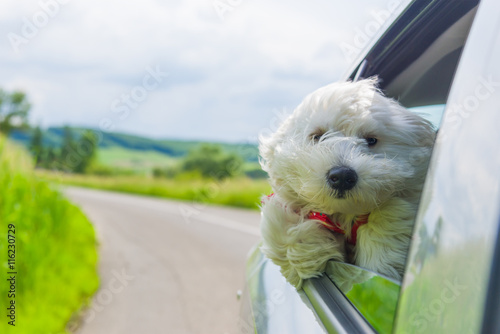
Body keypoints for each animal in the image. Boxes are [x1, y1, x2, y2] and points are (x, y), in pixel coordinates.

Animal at [260, 77, 436, 288]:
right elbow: (286, 229)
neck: (344, 214)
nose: (342, 176)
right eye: (317, 136)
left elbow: (392, 218)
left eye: (371, 140)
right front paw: (309, 256)